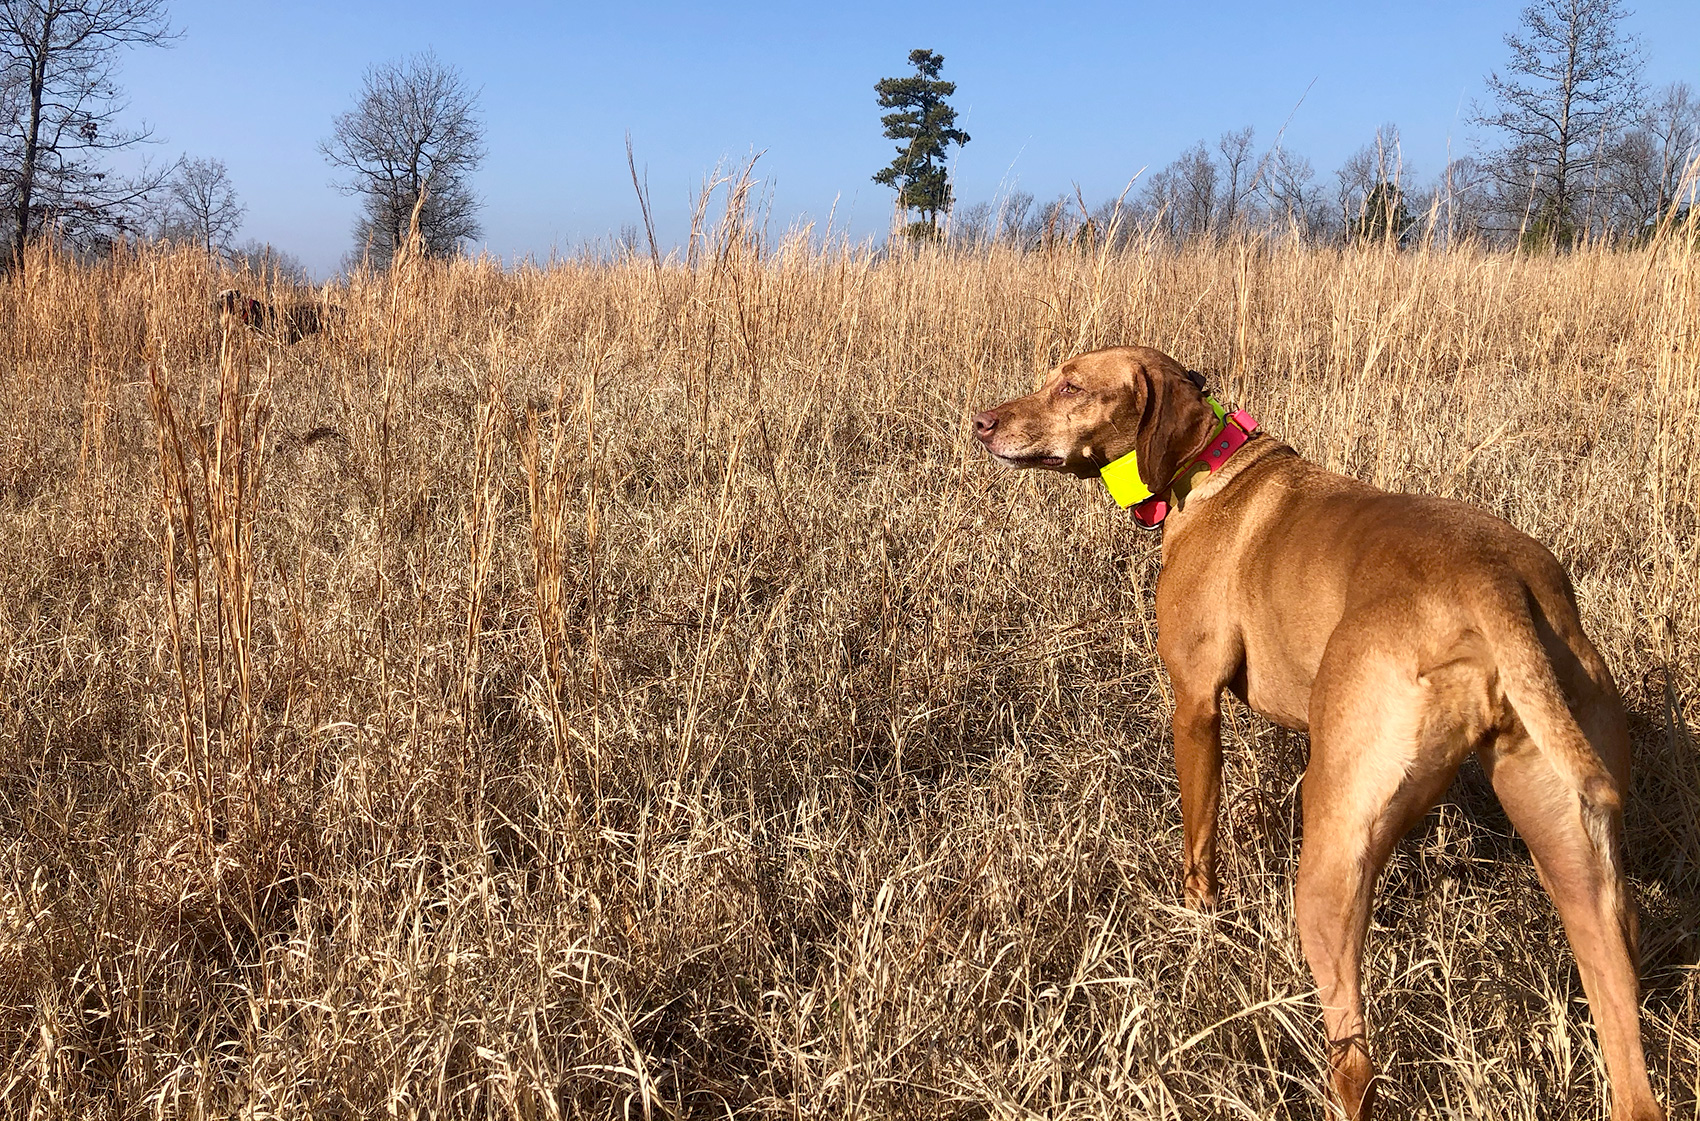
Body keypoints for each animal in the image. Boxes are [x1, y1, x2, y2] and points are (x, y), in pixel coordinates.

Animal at [979, 347, 1652, 1115]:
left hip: (1332, 847)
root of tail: (1495, 582)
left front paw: (1198, 918)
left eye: (1071, 386)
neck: (1210, 464)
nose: (982, 423)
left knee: (1354, 1059)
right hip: (1577, 855)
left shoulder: (1195, 704)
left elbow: (1198, 834)